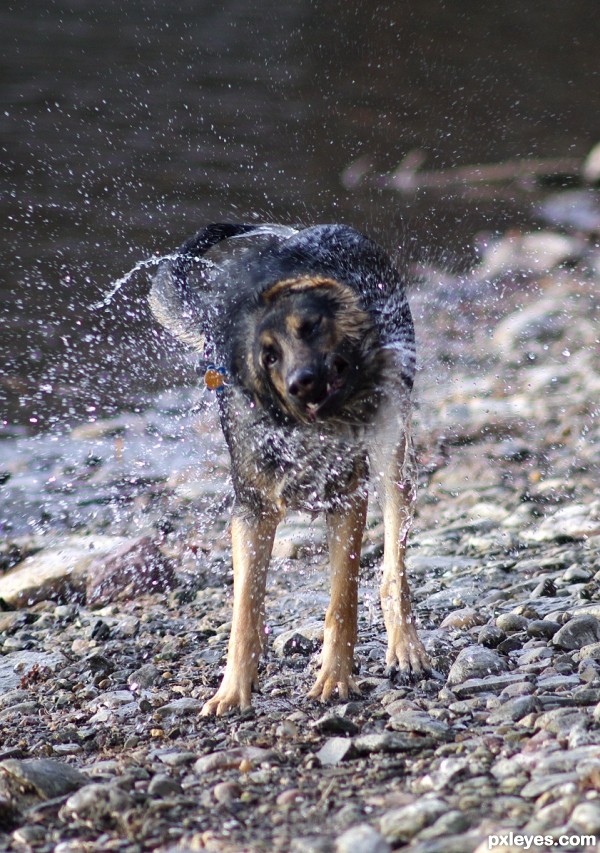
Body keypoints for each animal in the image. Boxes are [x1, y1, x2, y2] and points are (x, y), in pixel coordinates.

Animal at [150, 223, 432, 716]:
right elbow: (244, 610)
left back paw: (405, 648)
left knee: (393, 568)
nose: (303, 383)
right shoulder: (252, 510)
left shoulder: (346, 499)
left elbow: (341, 602)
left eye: (311, 327)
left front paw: (335, 679)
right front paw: (232, 690)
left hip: (391, 451)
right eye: (269, 357)